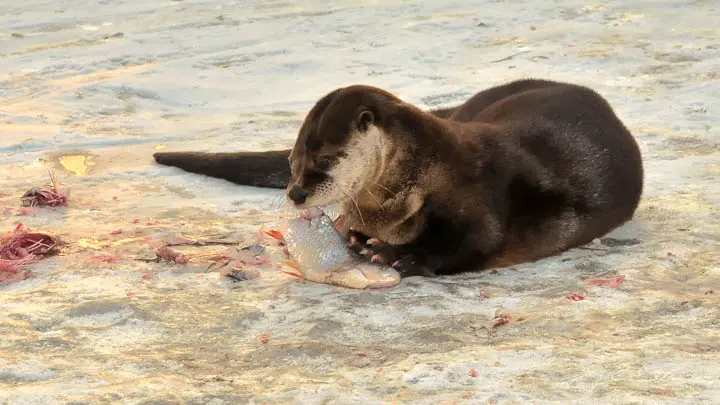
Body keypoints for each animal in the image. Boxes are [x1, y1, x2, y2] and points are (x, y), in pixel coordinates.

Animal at [154, 79, 644, 277]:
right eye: (293, 160)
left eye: (324, 160)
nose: (296, 193)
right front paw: (354, 237)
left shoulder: (479, 193)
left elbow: (477, 239)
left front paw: (399, 256)